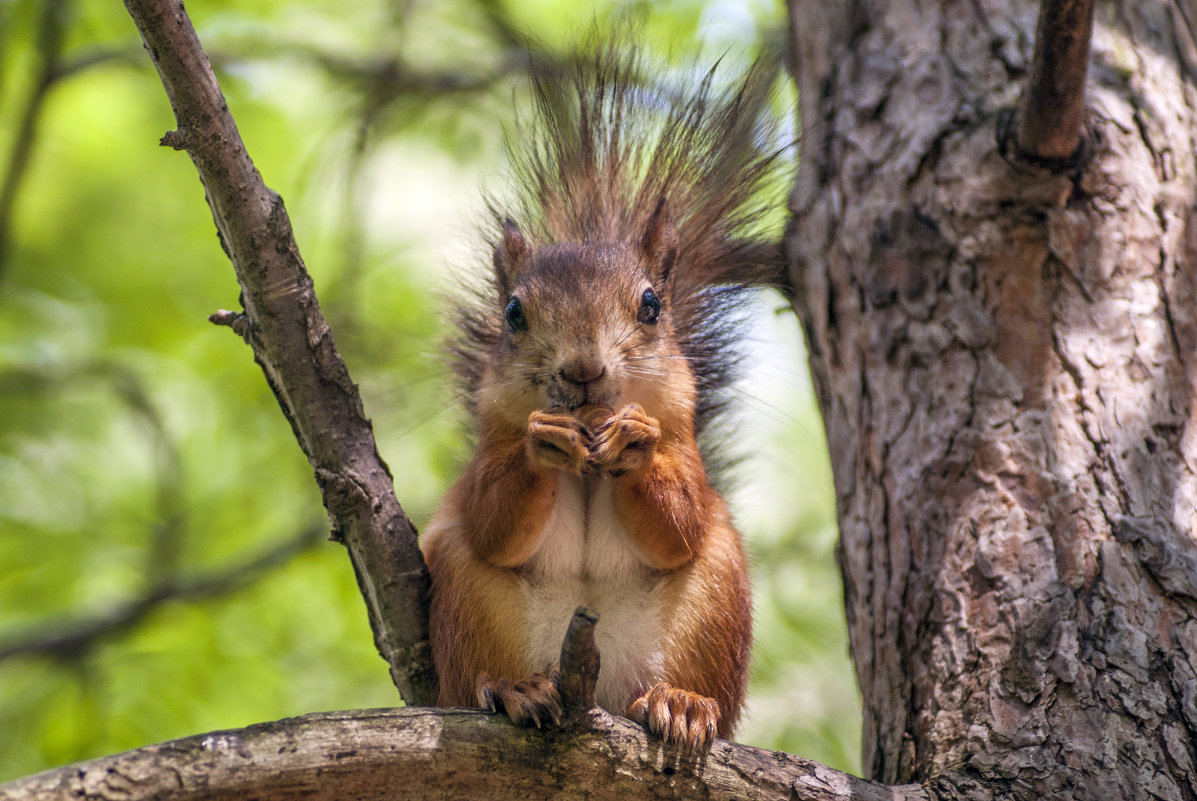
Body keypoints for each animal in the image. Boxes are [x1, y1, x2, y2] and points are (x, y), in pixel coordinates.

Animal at [421, 38, 785, 751]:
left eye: (651, 305)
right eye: (512, 313)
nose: (584, 369)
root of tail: (604, 688)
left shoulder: (684, 440)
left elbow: (680, 519)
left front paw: (634, 441)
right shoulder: (488, 446)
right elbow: (490, 518)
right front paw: (542, 443)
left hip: (713, 600)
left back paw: (681, 704)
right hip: (467, 598)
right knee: (479, 654)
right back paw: (517, 689)